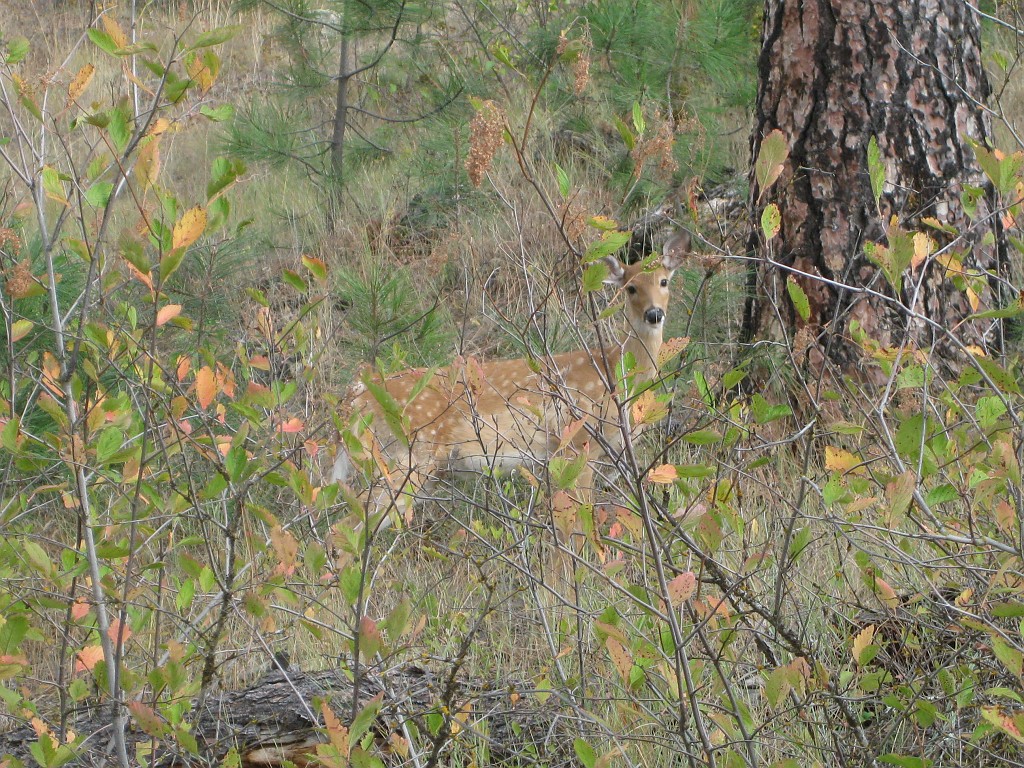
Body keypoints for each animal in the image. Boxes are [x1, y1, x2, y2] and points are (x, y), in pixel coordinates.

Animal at [332, 231, 691, 527]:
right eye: (631, 287)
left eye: (664, 281)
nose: (654, 314)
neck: (615, 373)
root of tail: (354, 398)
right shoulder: (577, 443)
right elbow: (578, 524)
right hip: (407, 456)